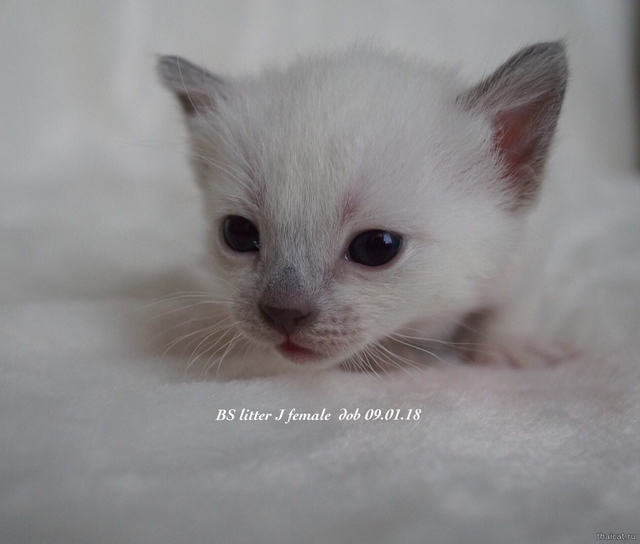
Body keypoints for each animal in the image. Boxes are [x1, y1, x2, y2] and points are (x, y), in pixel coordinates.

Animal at [157, 42, 569, 377]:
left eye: (376, 247)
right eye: (239, 234)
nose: (282, 314)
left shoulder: (527, 248)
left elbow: (513, 302)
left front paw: (508, 348)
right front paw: (392, 358)